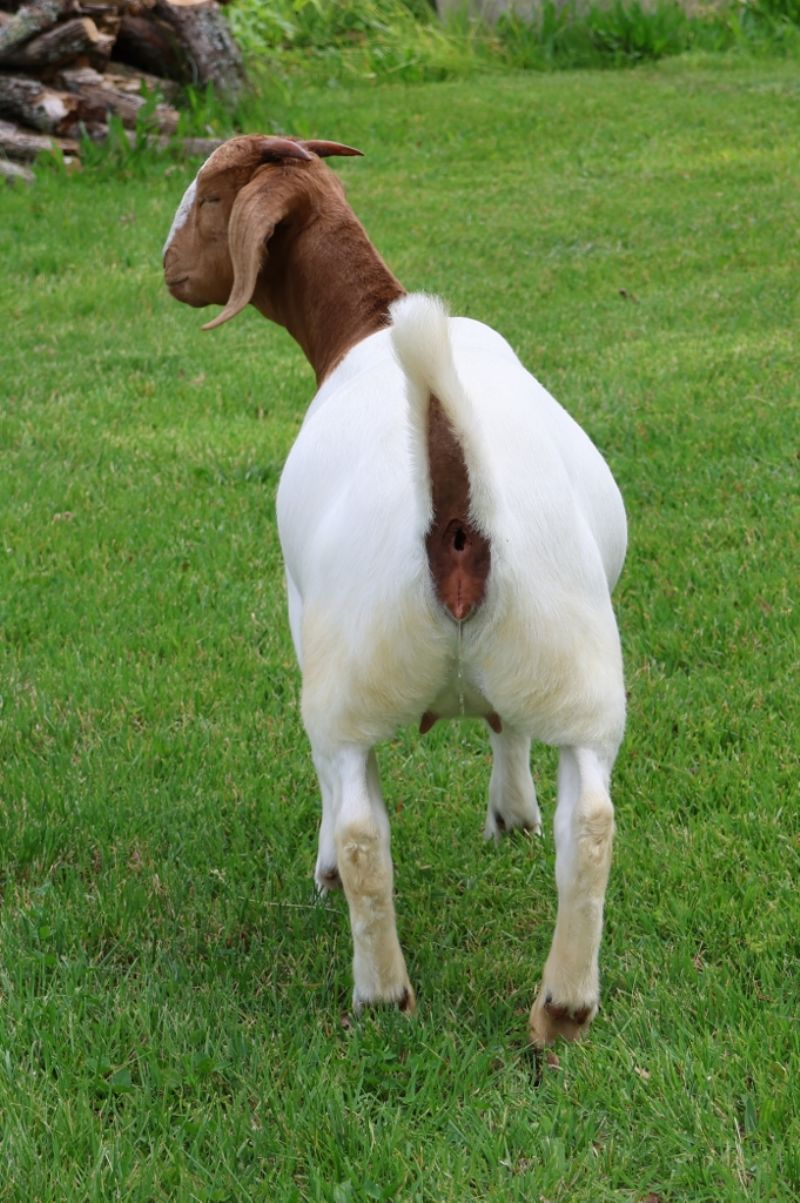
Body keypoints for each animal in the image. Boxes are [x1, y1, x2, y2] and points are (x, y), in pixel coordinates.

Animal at [163, 135, 627, 1046]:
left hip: (348, 677)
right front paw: (511, 816)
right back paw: (563, 1005)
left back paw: (381, 992)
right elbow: (506, 727)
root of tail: (454, 499)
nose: (167, 271)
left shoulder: (305, 621)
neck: (369, 325)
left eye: (208, 198)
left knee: (360, 832)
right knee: (588, 827)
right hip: (575, 660)